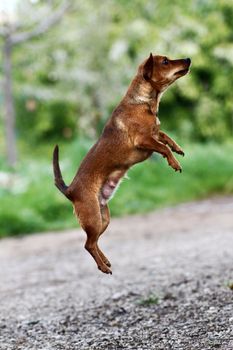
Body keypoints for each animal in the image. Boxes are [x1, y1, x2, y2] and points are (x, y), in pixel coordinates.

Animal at [52, 54, 191, 274]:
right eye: (165, 62)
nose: (188, 59)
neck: (142, 102)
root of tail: (70, 190)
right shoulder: (144, 140)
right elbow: (163, 147)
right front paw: (174, 161)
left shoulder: (154, 134)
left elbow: (165, 136)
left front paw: (177, 148)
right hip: (93, 219)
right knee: (88, 244)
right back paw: (103, 267)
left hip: (103, 219)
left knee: (93, 242)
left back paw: (105, 261)